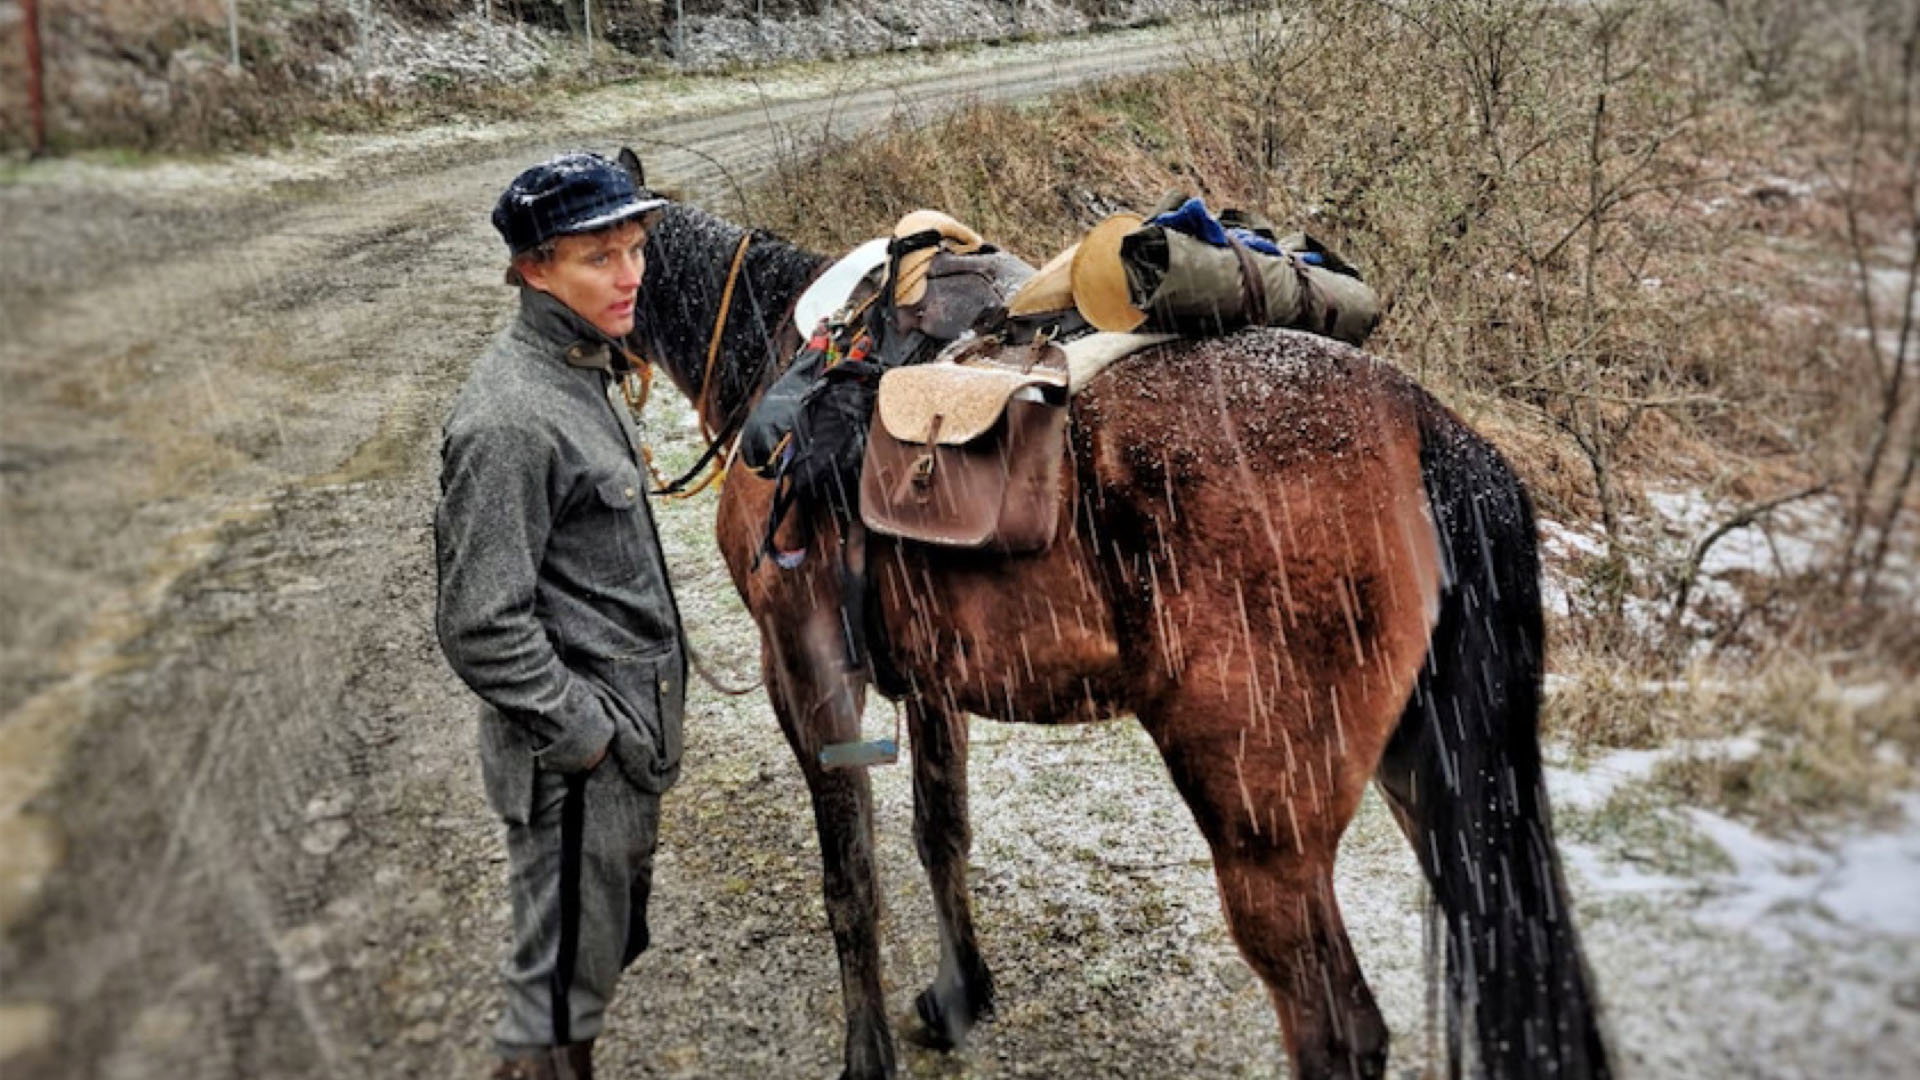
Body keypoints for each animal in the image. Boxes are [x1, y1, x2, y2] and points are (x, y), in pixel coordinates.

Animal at [625, 180, 1605, 1068]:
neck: (780, 351)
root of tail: (1429, 432)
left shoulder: (806, 665)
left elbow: (850, 878)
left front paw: (867, 1053)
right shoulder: (930, 679)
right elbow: (940, 832)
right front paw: (958, 994)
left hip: (1264, 827)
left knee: (1336, 1031)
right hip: (1425, 778)